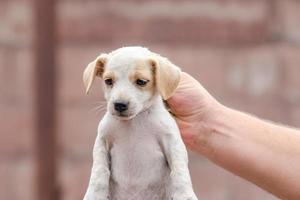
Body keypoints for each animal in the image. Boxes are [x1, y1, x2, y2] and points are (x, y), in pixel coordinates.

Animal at [83, 47, 198, 200]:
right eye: (108, 81)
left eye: (141, 81)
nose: (119, 105)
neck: (134, 121)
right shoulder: (102, 141)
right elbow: (99, 171)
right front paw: (94, 194)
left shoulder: (172, 142)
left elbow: (179, 171)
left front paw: (185, 194)